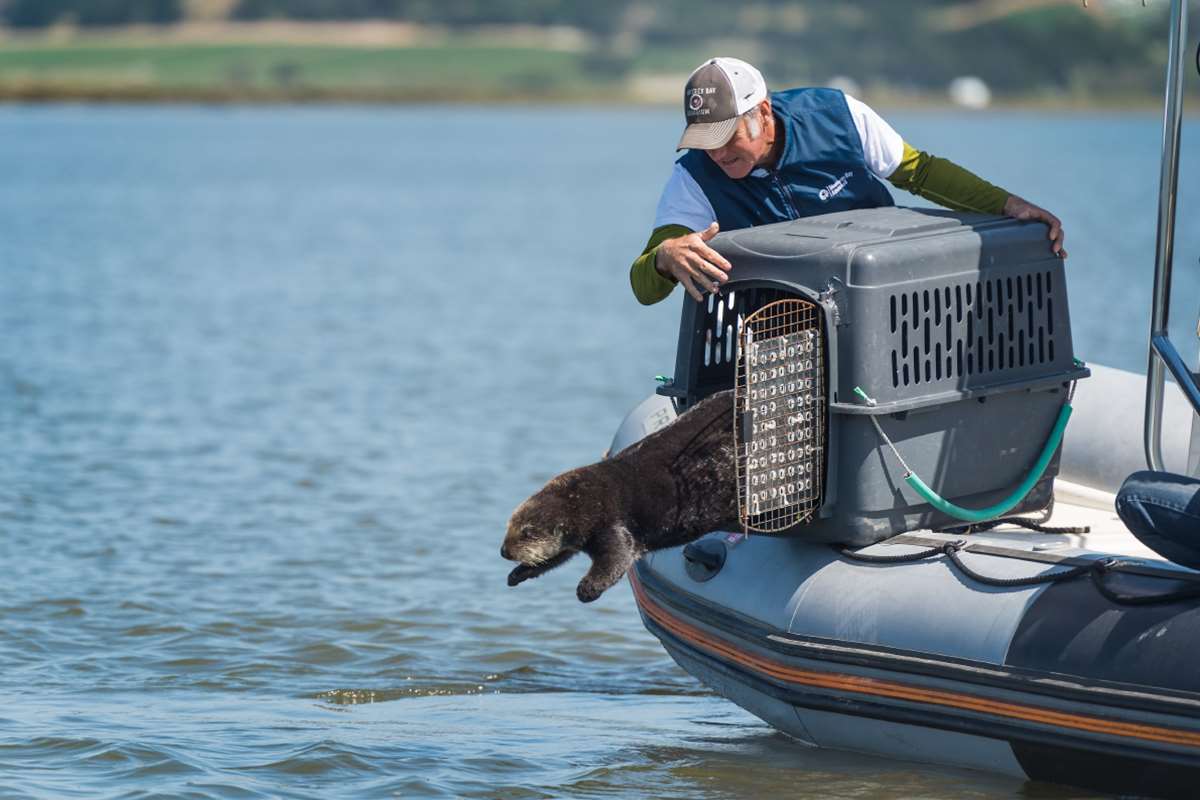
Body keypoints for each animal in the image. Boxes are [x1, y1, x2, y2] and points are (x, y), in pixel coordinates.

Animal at [501, 389, 737, 602]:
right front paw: (516, 574)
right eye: (509, 527)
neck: (581, 500)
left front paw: (586, 590)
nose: (504, 551)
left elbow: (618, 557)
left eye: (527, 533)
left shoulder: (611, 524)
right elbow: (555, 557)